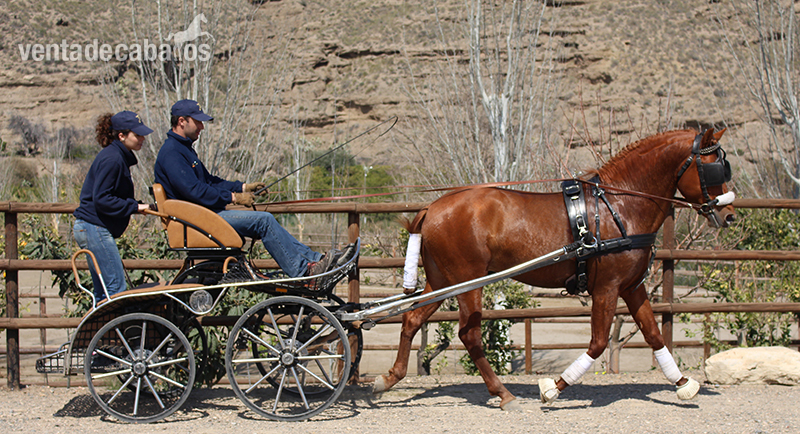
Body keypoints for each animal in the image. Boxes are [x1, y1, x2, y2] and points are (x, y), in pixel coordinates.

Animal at [374, 128, 735, 410]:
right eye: (714, 169)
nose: (729, 215)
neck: (619, 207)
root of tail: (433, 207)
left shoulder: (632, 287)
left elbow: (654, 334)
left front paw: (683, 383)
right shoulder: (607, 288)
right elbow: (598, 342)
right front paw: (553, 388)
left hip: (442, 281)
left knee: (412, 319)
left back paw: (389, 378)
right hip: (468, 282)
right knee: (469, 334)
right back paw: (503, 393)